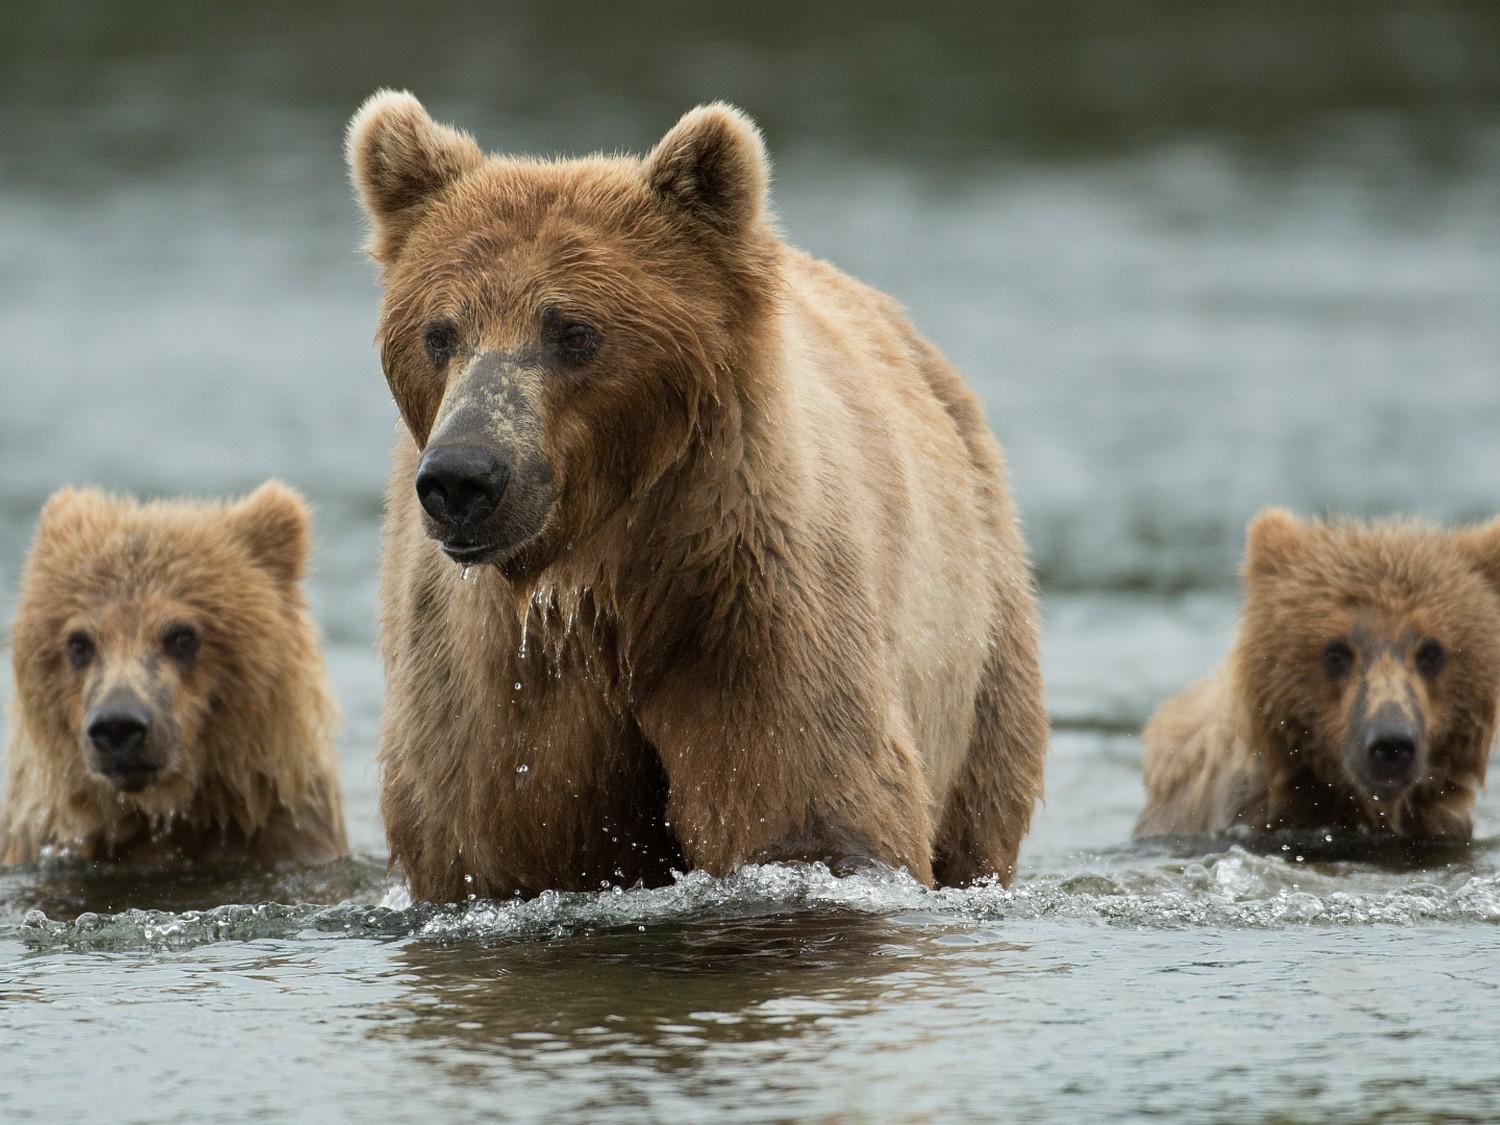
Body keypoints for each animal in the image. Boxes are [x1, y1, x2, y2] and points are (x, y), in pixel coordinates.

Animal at [346, 90, 1050, 906]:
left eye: (573, 331)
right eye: (440, 332)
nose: (463, 476)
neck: (605, 572)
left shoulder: (747, 603)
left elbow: (810, 811)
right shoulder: (492, 680)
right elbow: (490, 841)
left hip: (980, 627)